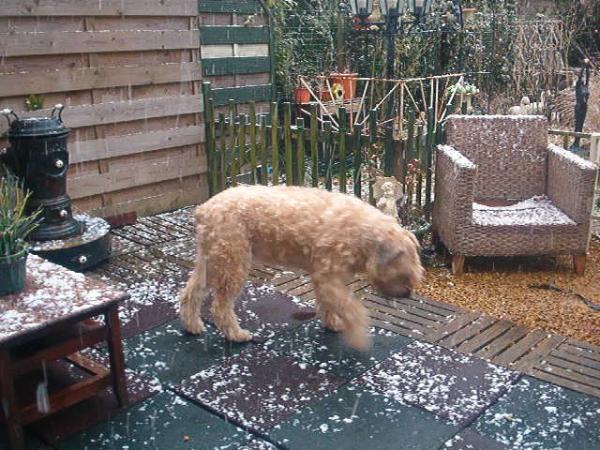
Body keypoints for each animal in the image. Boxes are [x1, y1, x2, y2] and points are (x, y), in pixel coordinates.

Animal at [180, 185, 424, 350]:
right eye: (404, 274)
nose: (408, 294)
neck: (364, 235)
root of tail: (203, 210)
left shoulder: (325, 277)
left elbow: (330, 304)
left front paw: (332, 323)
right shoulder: (327, 277)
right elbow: (354, 309)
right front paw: (358, 337)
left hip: (211, 261)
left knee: (190, 293)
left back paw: (192, 325)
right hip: (233, 264)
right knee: (220, 307)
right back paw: (236, 335)